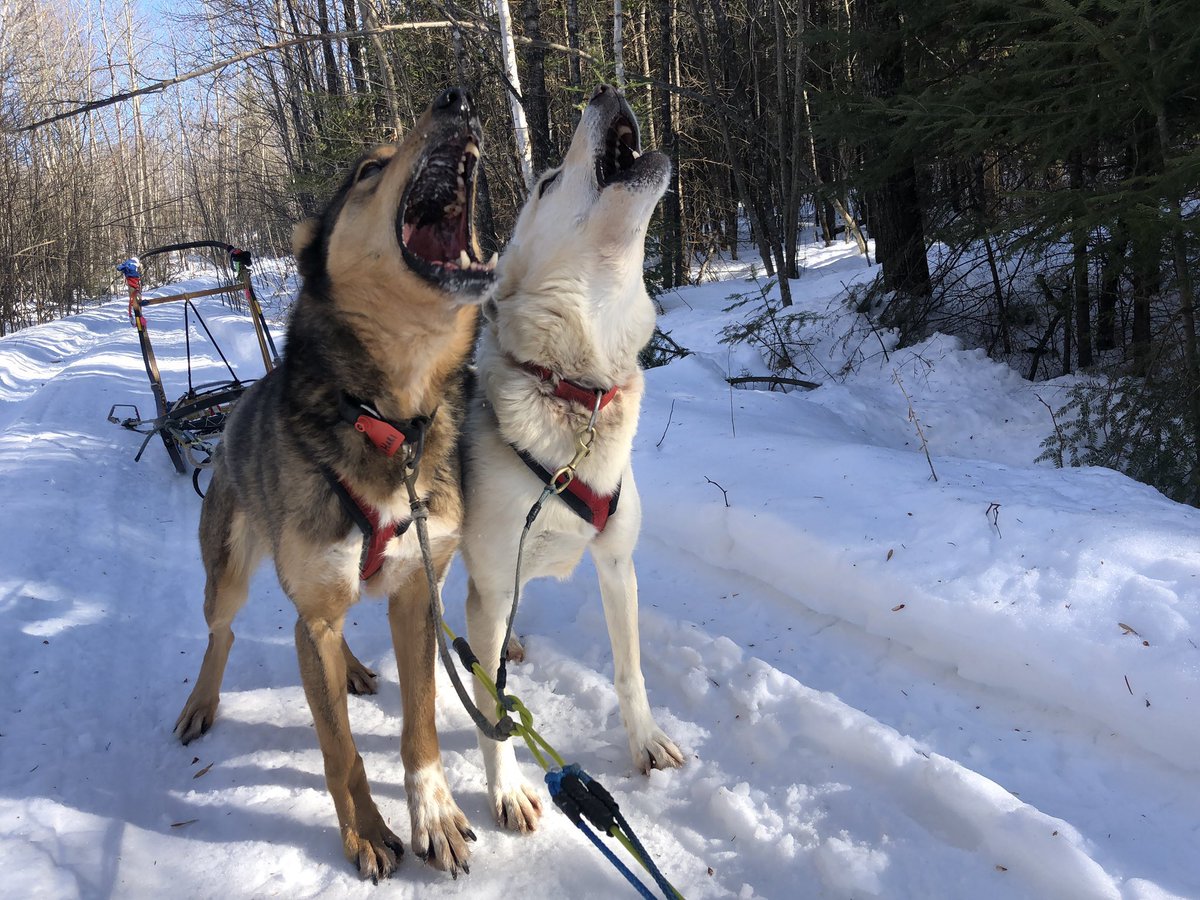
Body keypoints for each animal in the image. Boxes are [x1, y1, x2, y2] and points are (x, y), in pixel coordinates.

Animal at [458, 84, 686, 830]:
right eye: (549, 181)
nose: (604, 89)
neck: (575, 386)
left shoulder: (616, 564)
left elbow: (629, 671)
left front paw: (645, 744)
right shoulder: (493, 575)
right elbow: (492, 712)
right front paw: (505, 789)